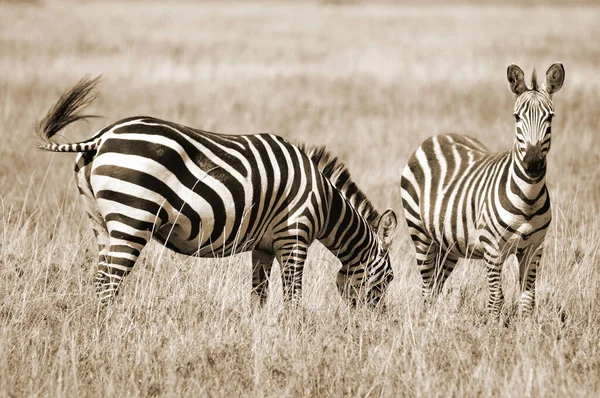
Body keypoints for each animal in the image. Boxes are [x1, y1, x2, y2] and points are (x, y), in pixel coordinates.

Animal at [35, 77, 396, 308]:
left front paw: (259, 335)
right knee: (107, 282)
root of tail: (102, 137)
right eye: (390, 278)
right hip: (133, 216)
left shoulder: (263, 247)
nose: (375, 327)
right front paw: (295, 339)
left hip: (100, 220)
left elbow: (259, 297)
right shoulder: (294, 237)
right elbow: (293, 299)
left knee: (100, 278)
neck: (324, 202)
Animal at [400, 63, 564, 320]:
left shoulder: (534, 248)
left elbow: (528, 301)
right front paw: (494, 330)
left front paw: (526, 330)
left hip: (449, 244)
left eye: (550, 117)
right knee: (427, 287)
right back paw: (427, 321)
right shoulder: (492, 248)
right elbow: (496, 300)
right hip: (420, 234)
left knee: (436, 285)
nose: (533, 163)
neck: (528, 198)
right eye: (517, 117)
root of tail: (436, 137)